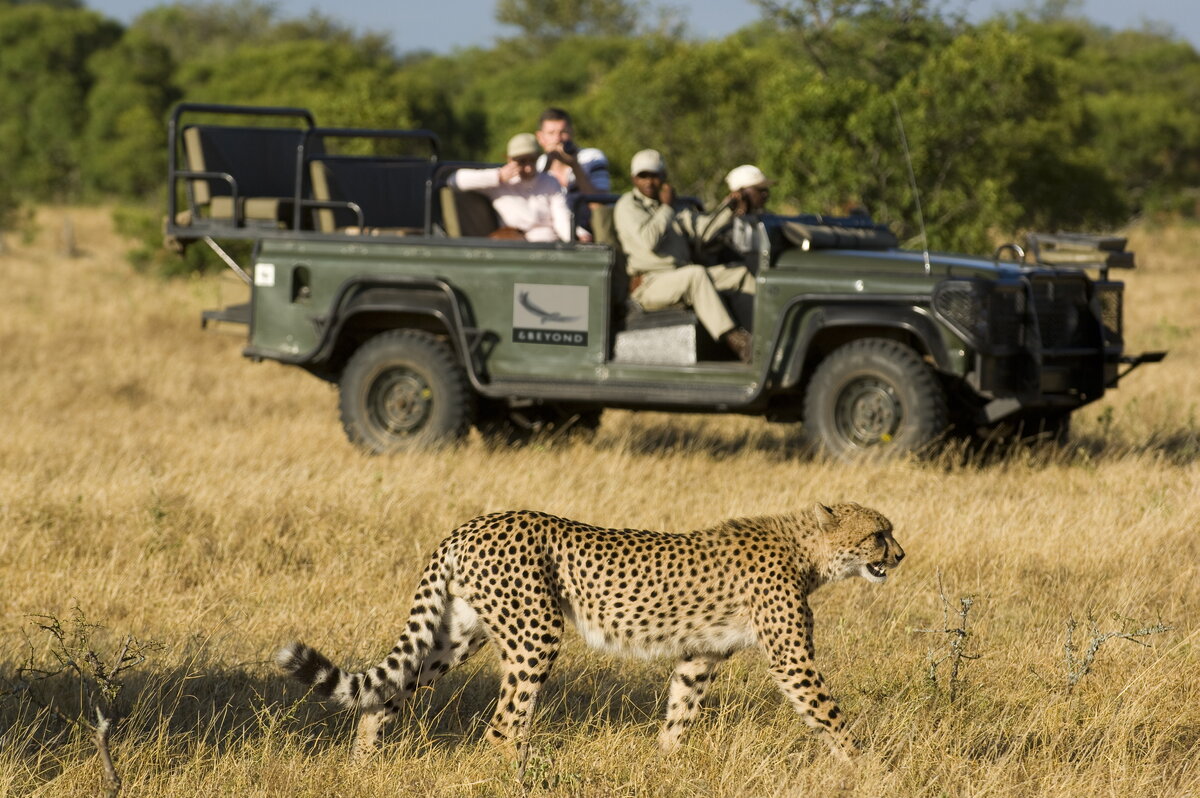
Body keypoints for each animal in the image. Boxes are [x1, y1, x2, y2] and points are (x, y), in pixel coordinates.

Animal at [276, 504, 902, 758]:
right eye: (879, 534)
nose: (900, 555)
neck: (807, 549)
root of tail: (472, 523)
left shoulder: (698, 656)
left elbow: (680, 712)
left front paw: (665, 763)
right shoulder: (792, 660)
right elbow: (831, 716)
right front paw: (872, 768)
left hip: (457, 634)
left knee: (386, 694)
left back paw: (364, 765)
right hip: (535, 632)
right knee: (503, 727)